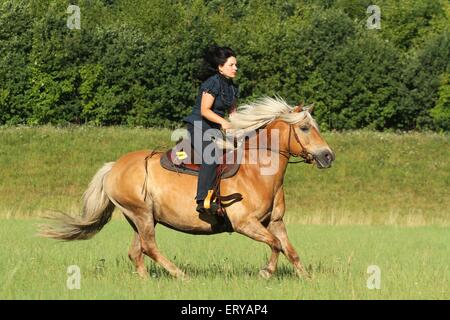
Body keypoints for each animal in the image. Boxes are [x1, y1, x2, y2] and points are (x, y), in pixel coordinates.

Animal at [39, 97, 334, 280]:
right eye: (305, 128)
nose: (328, 156)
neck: (257, 171)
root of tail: (113, 167)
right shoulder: (245, 223)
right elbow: (275, 245)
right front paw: (266, 272)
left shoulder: (275, 221)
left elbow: (289, 250)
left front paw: (308, 280)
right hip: (141, 215)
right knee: (149, 247)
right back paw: (181, 275)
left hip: (140, 217)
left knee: (137, 251)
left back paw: (146, 282)